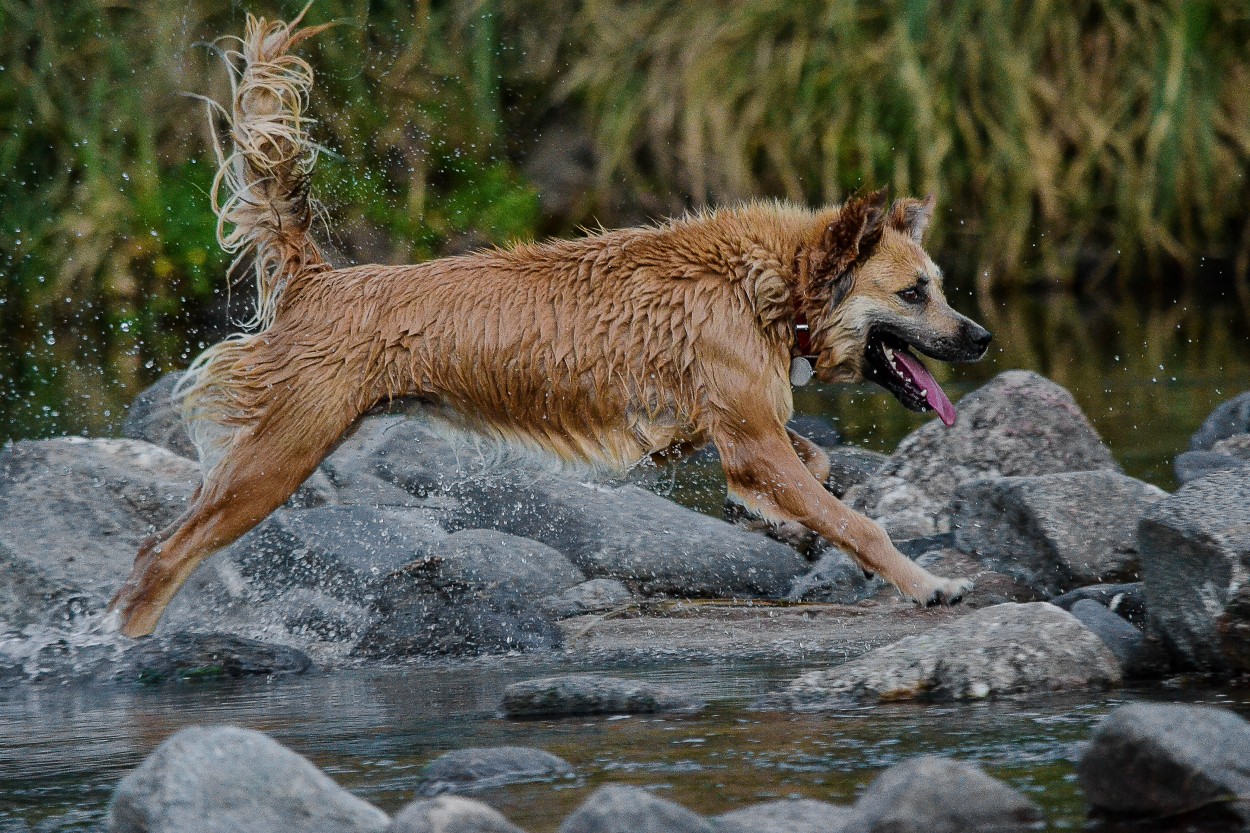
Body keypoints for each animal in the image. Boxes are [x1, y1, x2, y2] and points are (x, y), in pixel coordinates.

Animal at [102, 11, 990, 635]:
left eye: (942, 287)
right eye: (916, 293)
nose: (981, 338)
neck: (763, 284)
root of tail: (319, 280)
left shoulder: (731, 430)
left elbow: (816, 469)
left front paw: (803, 505)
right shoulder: (750, 437)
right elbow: (855, 521)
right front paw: (928, 582)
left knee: (159, 546)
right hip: (279, 452)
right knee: (164, 553)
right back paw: (125, 641)